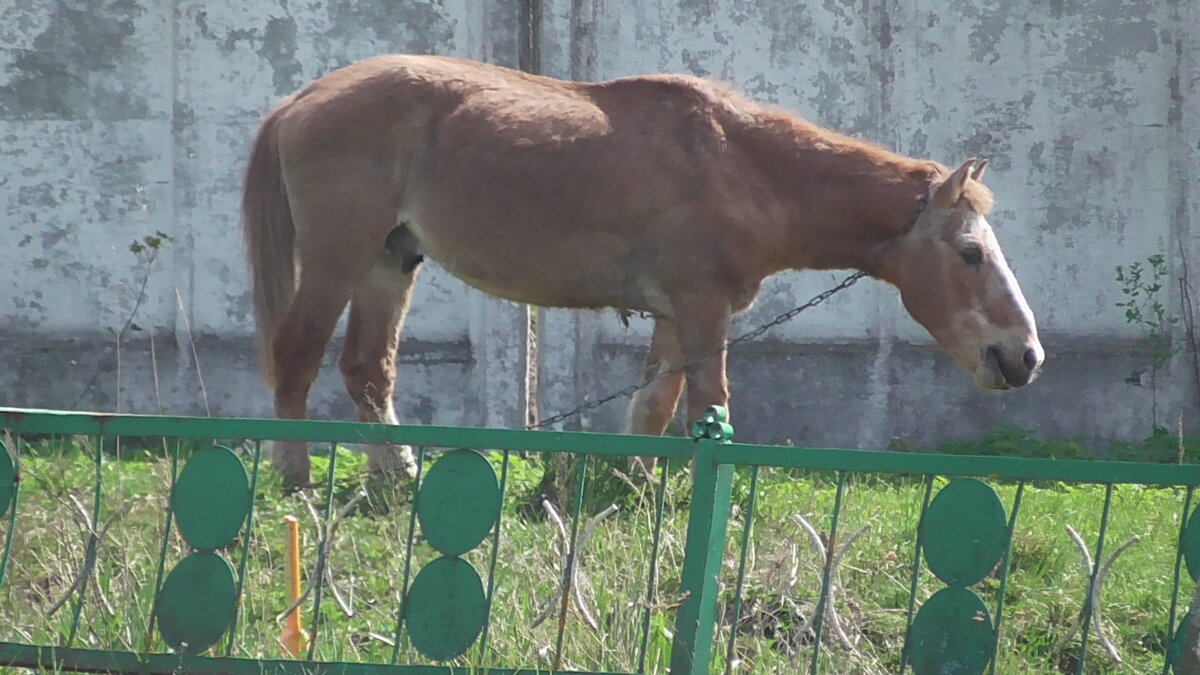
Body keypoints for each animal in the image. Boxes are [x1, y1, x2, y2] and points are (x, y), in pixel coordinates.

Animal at [241, 53, 1041, 482]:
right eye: (970, 253)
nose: (1025, 355)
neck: (740, 162)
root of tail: (301, 98)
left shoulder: (672, 316)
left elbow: (653, 406)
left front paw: (632, 487)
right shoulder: (702, 308)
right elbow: (708, 403)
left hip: (390, 261)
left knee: (367, 368)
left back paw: (397, 474)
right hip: (338, 259)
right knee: (299, 354)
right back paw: (295, 475)